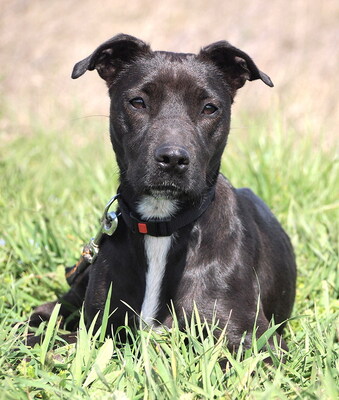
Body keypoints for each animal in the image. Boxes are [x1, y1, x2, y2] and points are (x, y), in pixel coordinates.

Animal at [30, 33, 298, 354]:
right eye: (138, 102)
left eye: (210, 108)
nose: (172, 158)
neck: (160, 226)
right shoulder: (97, 327)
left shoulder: (254, 341)